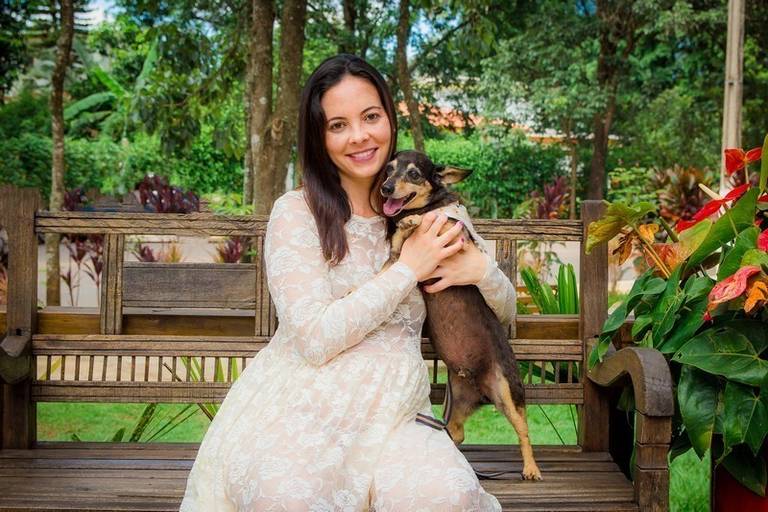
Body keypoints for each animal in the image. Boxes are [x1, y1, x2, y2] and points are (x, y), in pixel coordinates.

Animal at [379, 150, 541, 481]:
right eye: (388, 170)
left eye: (414, 174)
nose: (386, 188)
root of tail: (480, 390)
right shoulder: (396, 258)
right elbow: (394, 251)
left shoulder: (456, 235)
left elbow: (439, 220)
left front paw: (415, 220)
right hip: (456, 405)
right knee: (457, 432)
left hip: (508, 392)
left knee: (524, 431)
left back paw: (530, 468)